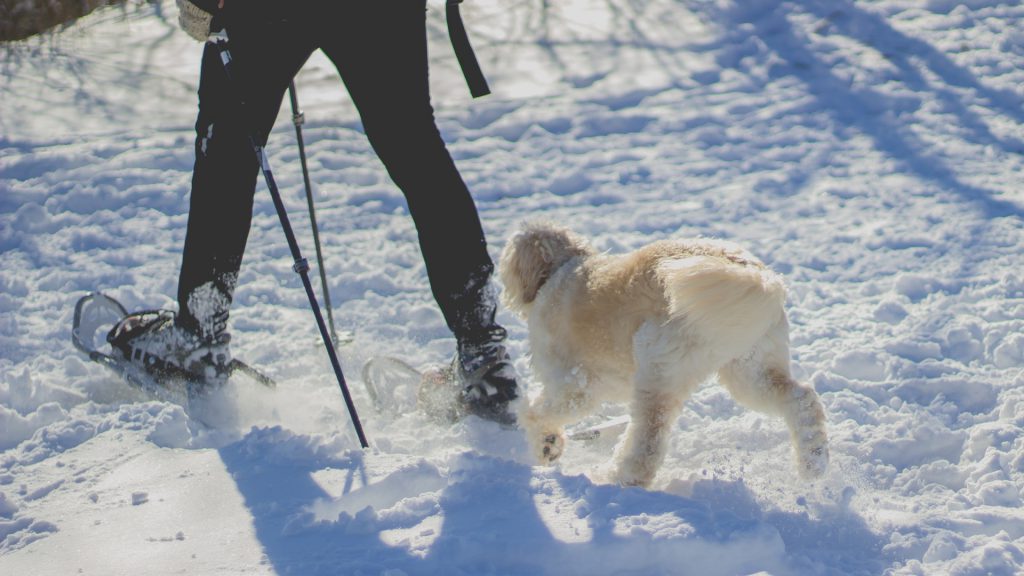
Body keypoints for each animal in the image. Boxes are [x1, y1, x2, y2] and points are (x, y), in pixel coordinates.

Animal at [499, 219, 827, 483]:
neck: (562, 269)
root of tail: (756, 276)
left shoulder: (575, 385)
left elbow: (535, 412)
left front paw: (546, 442)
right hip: (751, 369)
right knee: (802, 400)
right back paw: (813, 464)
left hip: (657, 369)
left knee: (648, 443)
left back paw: (617, 478)